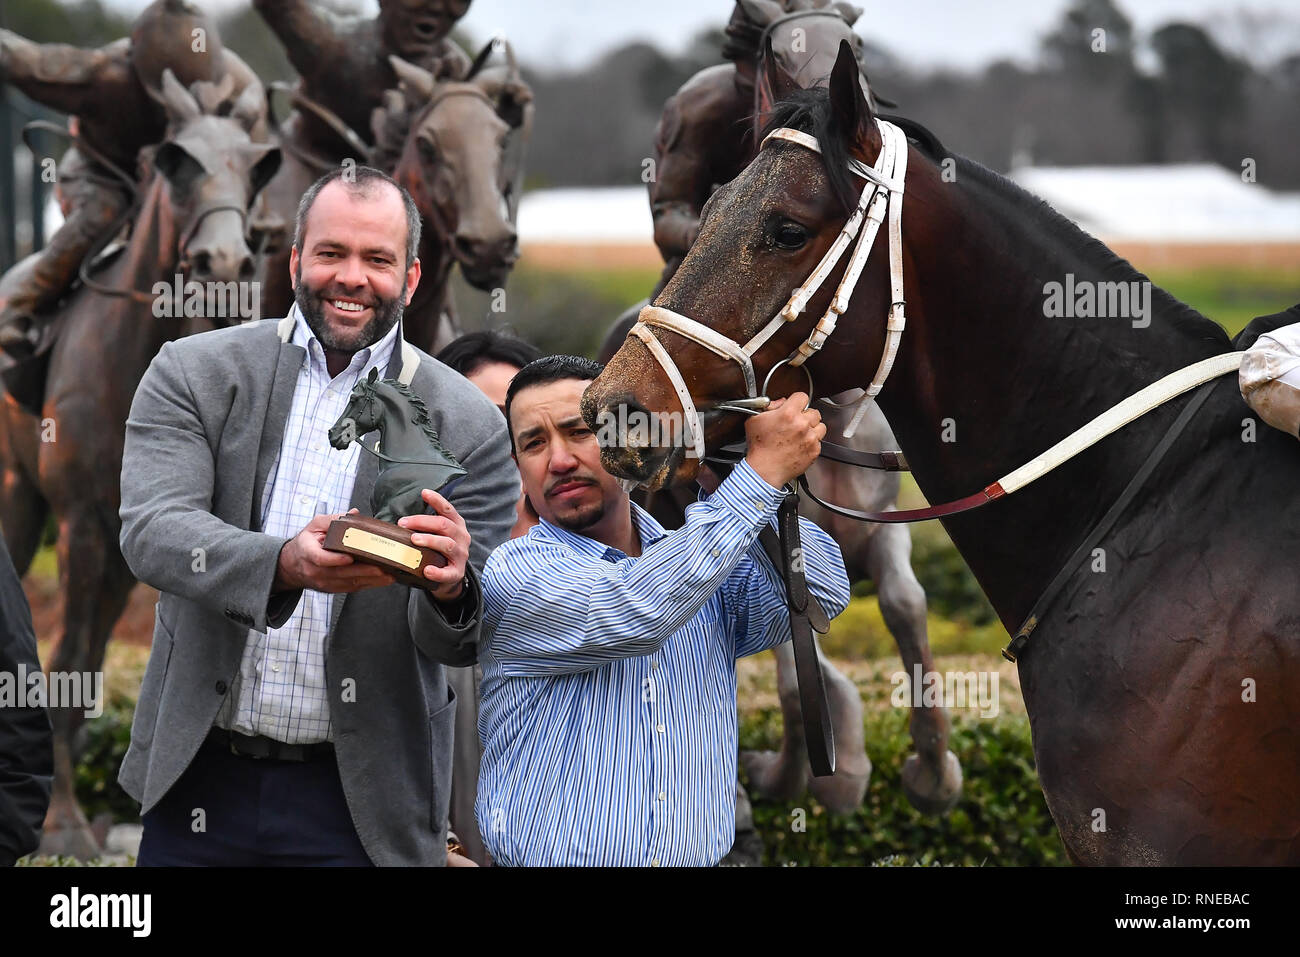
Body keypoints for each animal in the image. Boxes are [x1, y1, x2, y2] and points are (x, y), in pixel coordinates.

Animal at [0, 69, 279, 858]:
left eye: (256, 167)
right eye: (177, 166)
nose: (226, 265)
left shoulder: (159, 536)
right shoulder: (81, 524)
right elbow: (65, 658)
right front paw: (62, 822)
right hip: (17, 498)